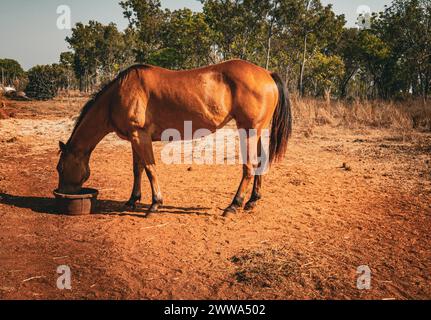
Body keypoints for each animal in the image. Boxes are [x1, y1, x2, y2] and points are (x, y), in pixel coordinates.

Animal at [56, 58, 294, 216]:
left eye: (59, 168)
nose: (62, 193)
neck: (117, 95)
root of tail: (267, 74)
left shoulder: (140, 136)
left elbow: (150, 169)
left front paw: (155, 204)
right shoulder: (135, 138)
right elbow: (137, 169)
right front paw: (133, 199)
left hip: (248, 131)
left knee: (249, 166)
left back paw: (234, 205)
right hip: (257, 131)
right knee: (260, 163)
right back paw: (252, 201)